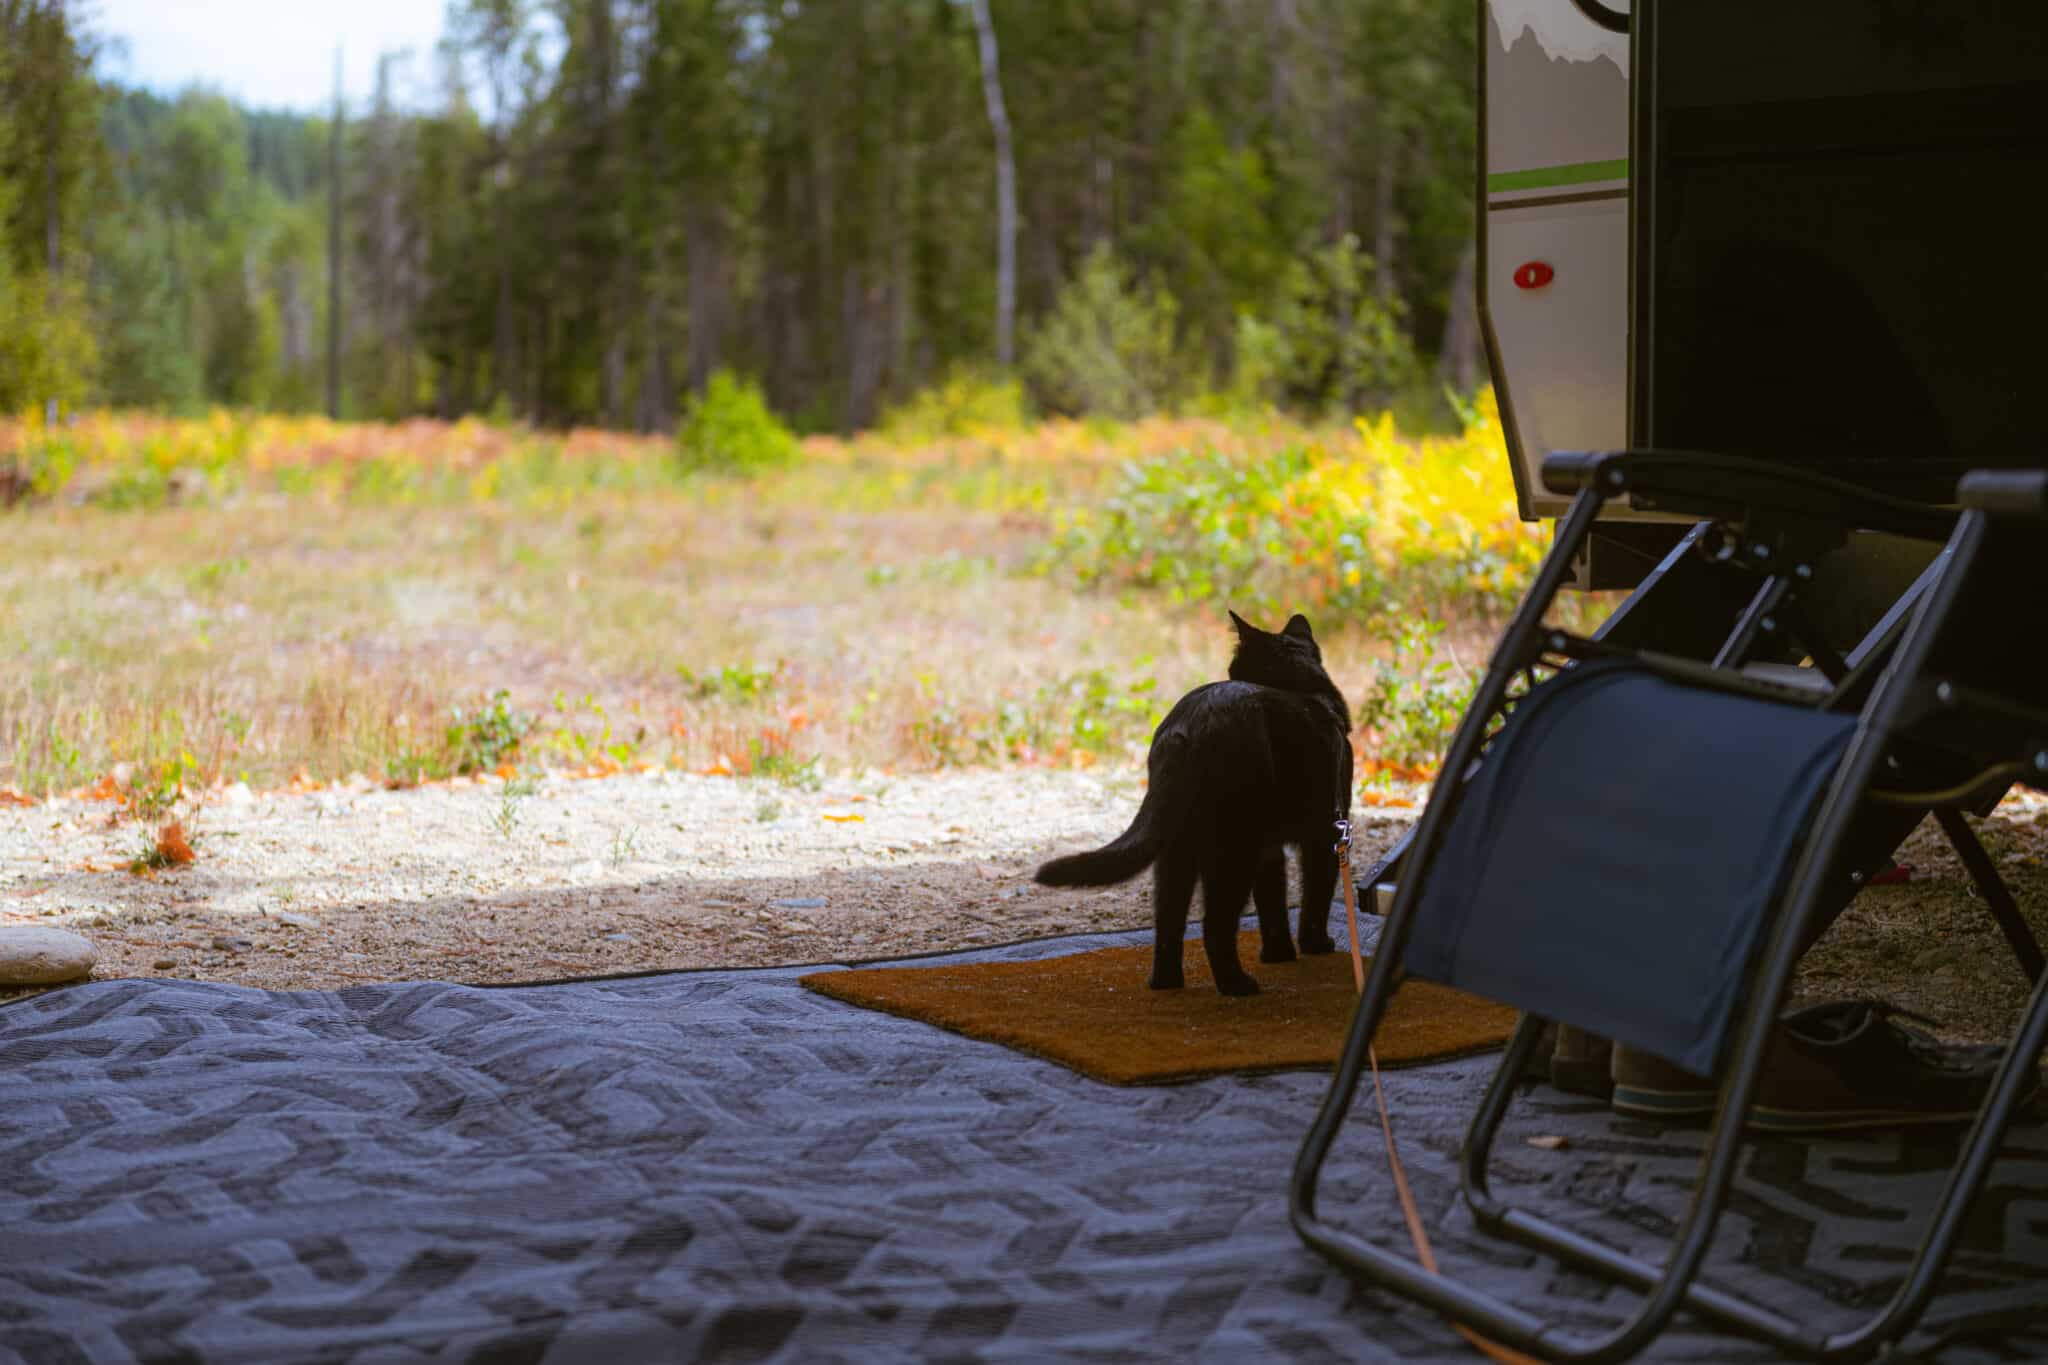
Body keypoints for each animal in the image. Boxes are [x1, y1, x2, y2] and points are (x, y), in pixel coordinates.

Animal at [1040, 613, 1343, 998]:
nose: (1228, 674)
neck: (1304, 690)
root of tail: (1187, 727)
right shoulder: (1326, 832)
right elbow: (1316, 894)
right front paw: (1315, 946)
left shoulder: (1270, 848)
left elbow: (1273, 902)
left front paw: (1279, 955)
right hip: (1233, 847)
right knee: (1214, 925)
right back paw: (1236, 985)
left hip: (1177, 850)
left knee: (1169, 921)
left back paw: (1166, 983)